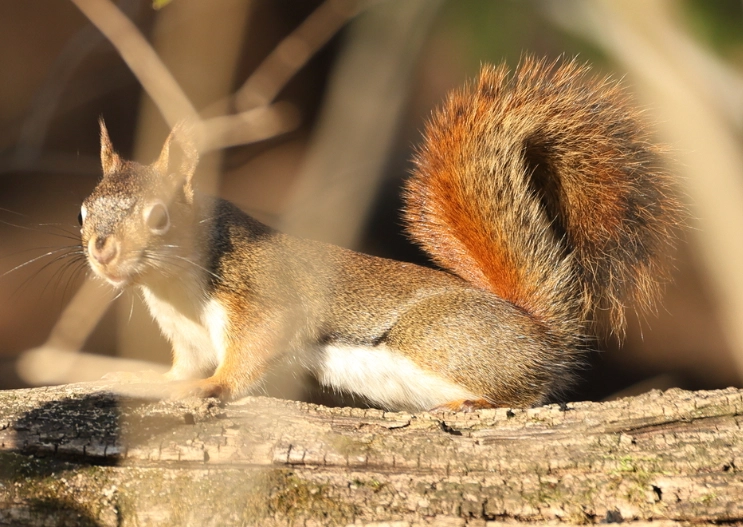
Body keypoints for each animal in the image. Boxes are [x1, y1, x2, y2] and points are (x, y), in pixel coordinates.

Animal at [80, 58, 681, 412]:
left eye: (159, 217)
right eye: (82, 213)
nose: (101, 252)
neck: (170, 288)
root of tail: (541, 335)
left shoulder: (261, 301)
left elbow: (249, 356)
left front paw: (212, 388)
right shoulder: (187, 338)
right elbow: (182, 366)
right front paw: (151, 381)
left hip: (439, 338)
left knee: (527, 392)